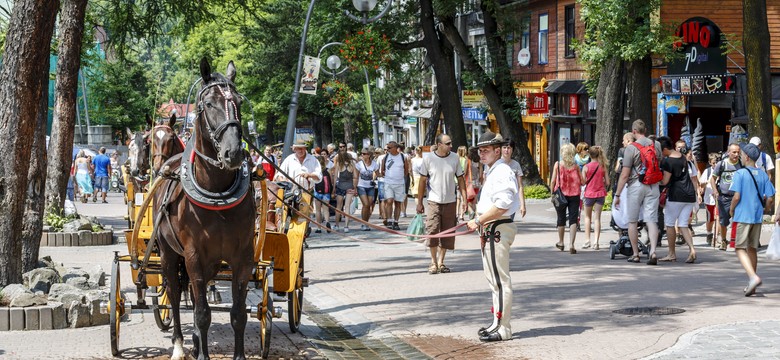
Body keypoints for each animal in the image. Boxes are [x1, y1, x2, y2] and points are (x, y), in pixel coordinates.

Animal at [155, 59, 256, 360]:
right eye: (209, 103)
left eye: (238, 102)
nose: (234, 152)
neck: (217, 193)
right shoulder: (194, 256)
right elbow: (201, 313)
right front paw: (200, 353)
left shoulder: (243, 257)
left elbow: (238, 314)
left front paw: (238, 355)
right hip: (168, 254)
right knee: (174, 294)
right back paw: (179, 344)